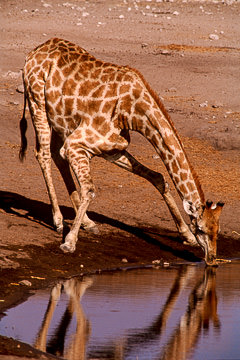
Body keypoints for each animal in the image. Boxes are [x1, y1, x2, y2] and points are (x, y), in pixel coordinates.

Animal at [19, 38, 224, 266]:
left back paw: (88, 223)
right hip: (37, 104)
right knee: (43, 154)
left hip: (59, 122)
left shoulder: (112, 149)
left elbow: (158, 177)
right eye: (201, 229)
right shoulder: (76, 144)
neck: (133, 111)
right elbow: (89, 189)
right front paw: (69, 242)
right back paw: (58, 220)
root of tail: (33, 53)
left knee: (56, 155)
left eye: (217, 231)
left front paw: (186, 235)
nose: (212, 259)